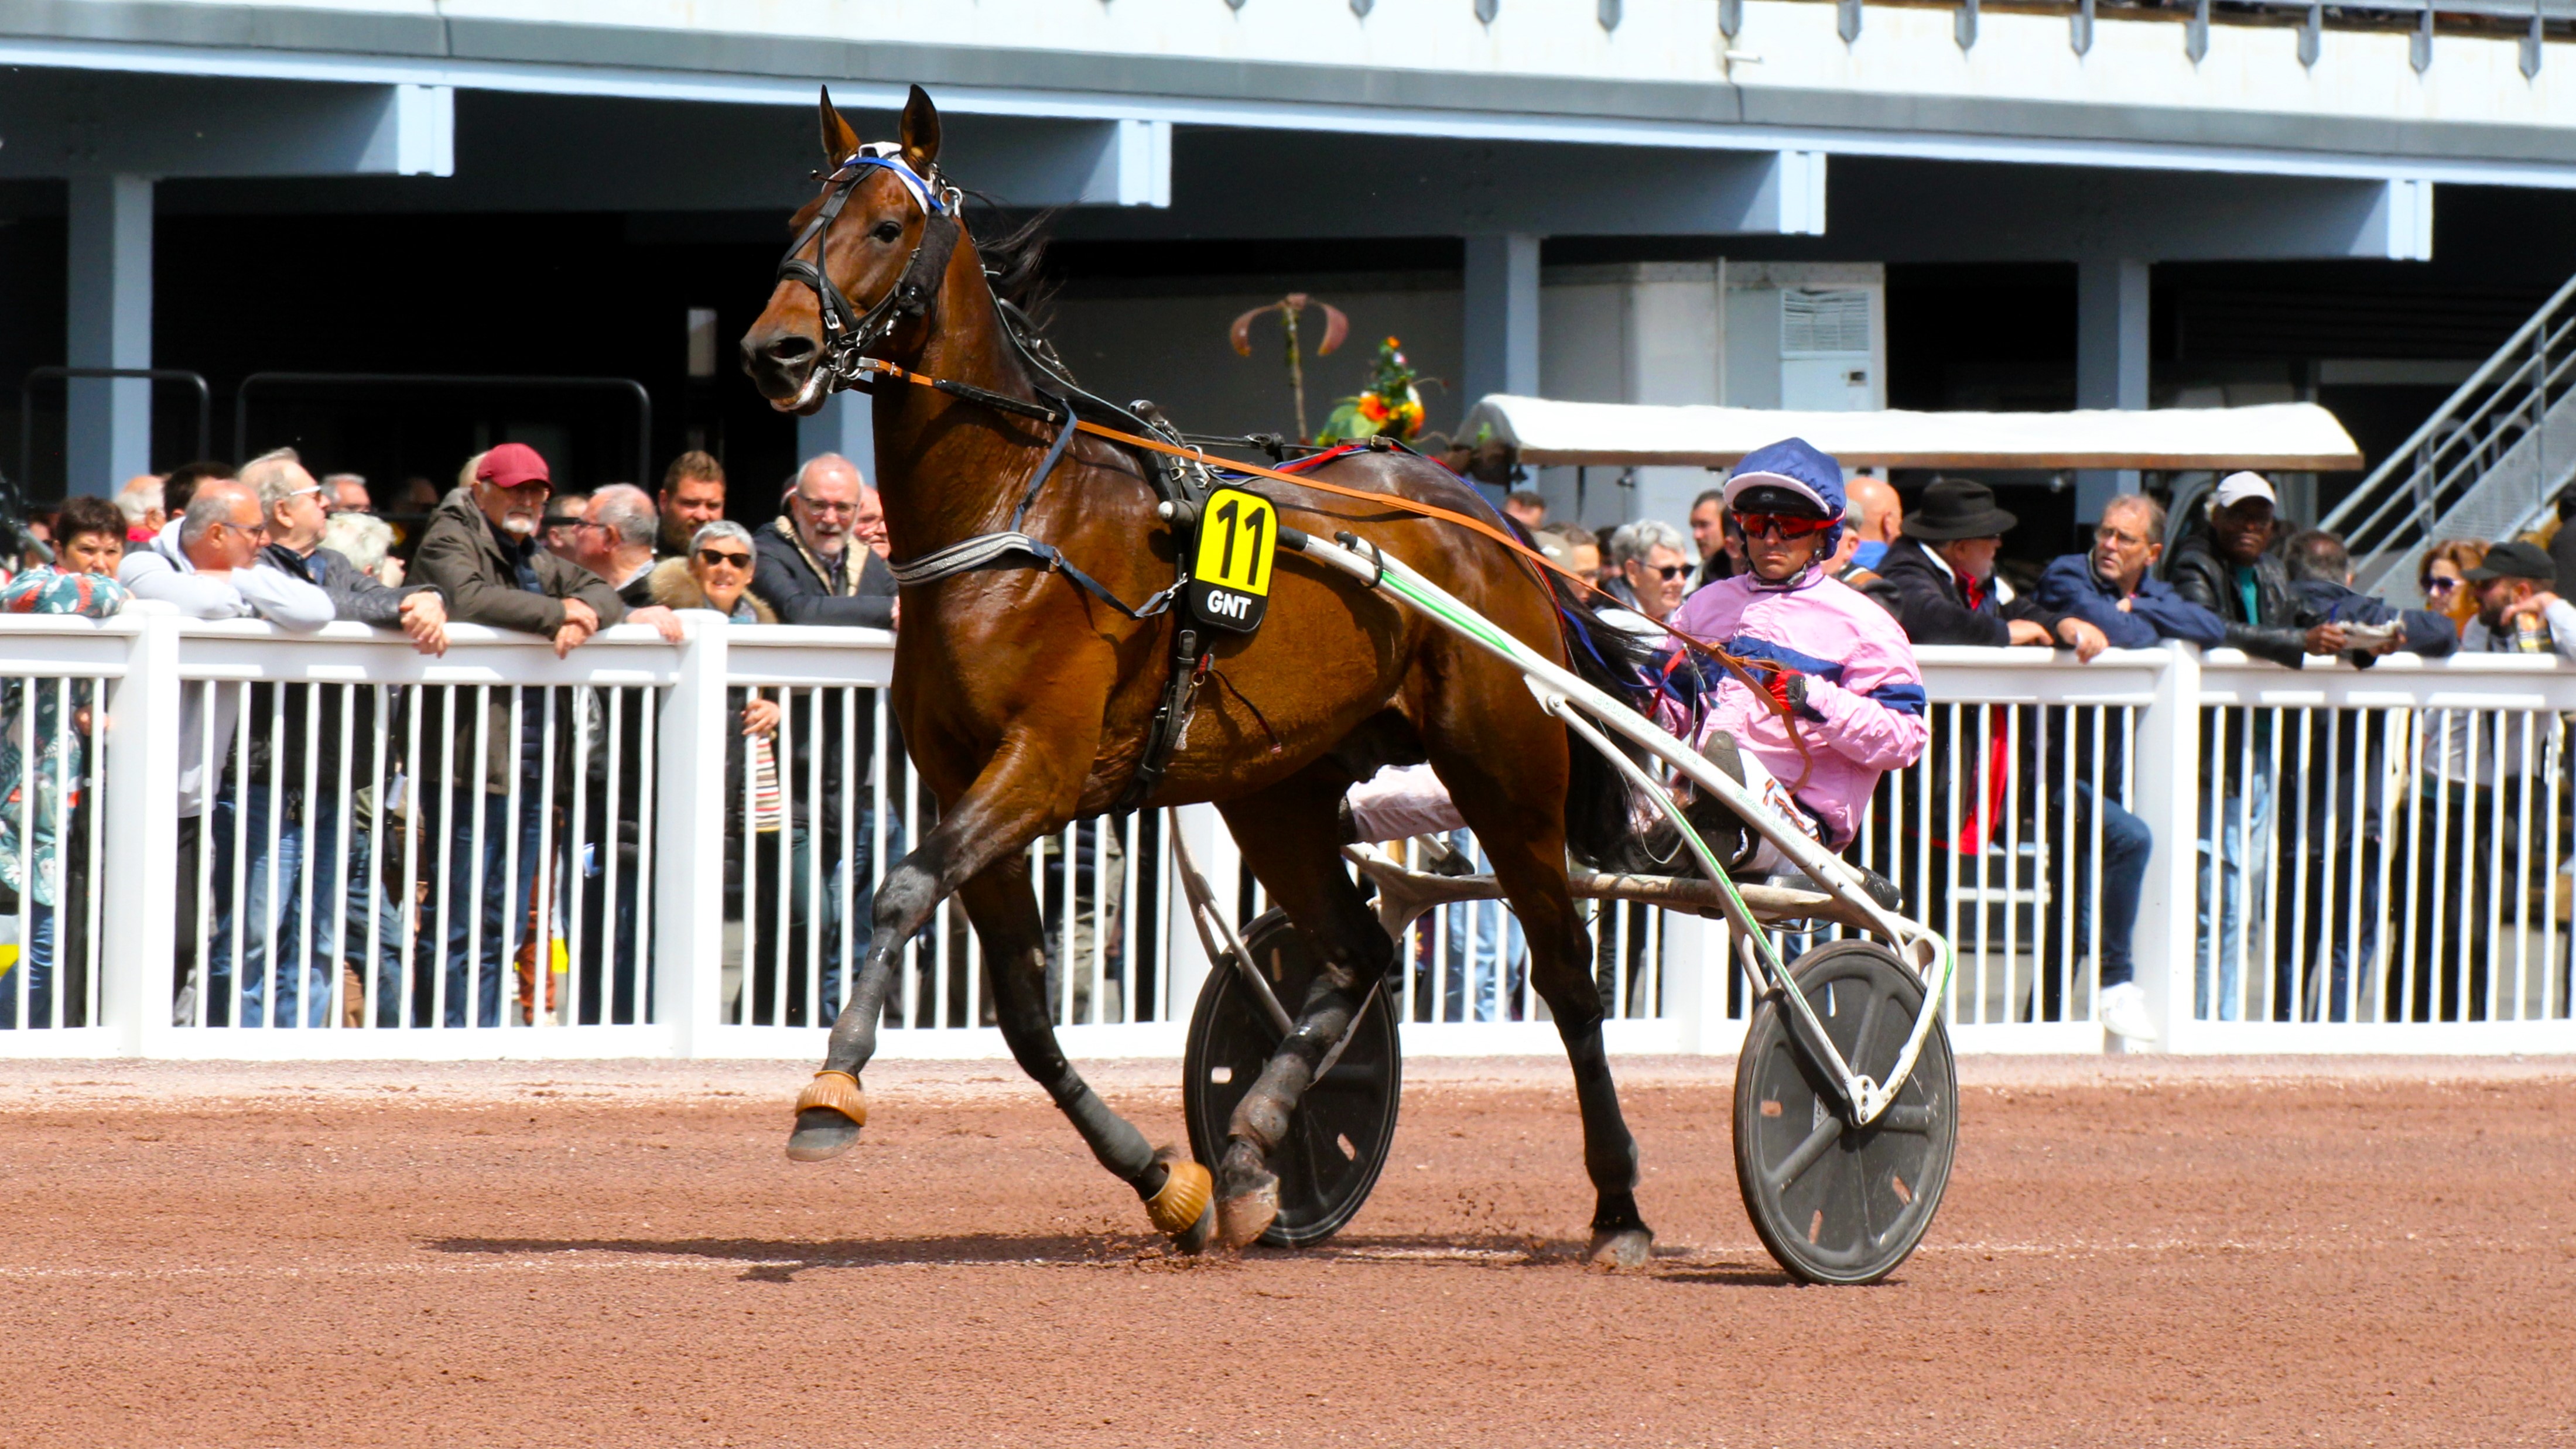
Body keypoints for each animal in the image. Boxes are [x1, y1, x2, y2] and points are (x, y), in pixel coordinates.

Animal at [741, 93, 1669, 1271]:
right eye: (796, 218)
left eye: (886, 226)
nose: (775, 349)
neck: (1011, 517)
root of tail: (1483, 519)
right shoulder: (965, 782)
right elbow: (1025, 1018)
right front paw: (1163, 1180)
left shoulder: (1038, 769)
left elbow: (901, 891)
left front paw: (831, 1088)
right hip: (1275, 789)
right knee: (1357, 952)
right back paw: (1248, 1153)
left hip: (1502, 767)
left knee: (1566, 974)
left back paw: (1619, 1207)